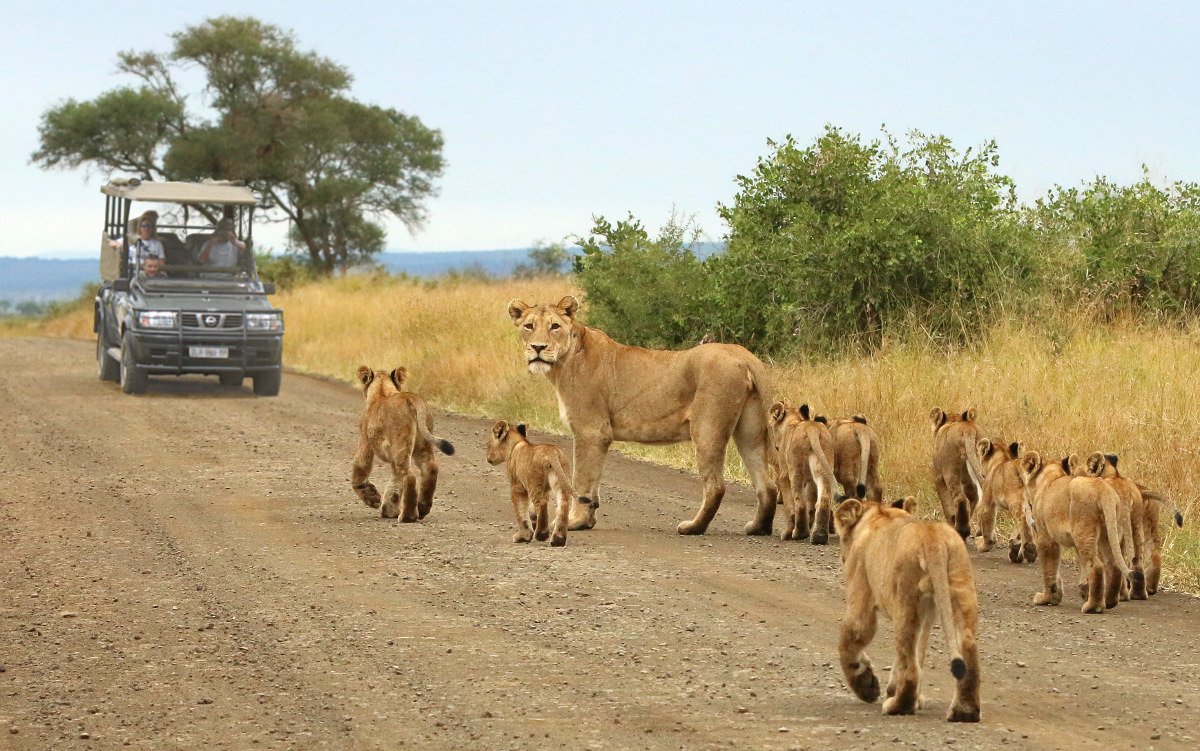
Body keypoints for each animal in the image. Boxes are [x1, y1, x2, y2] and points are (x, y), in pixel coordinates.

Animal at [506, 295, 777, 535]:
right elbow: (595, 481)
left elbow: (582, 479)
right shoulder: (600, 436)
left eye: (554, 326)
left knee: (716, 486)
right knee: (768, 485)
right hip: (750, 430)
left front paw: (573, 522)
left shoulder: (591, 431)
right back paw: (757, 528)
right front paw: (587, 520)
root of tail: (743, 354)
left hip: (707, 428)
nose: (538, 348)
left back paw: (693, 527)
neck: (564, 360)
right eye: (529, 326)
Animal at [830, 494, 979, 715]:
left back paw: (898, 706)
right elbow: (920, 651)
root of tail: (932, 538)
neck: (878, 515)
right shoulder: (928, 611)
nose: (842, 558)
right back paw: (964, 711)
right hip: (959, 590)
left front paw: (866, 685)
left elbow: (851, 639)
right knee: (967, 649)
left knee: (910, 666)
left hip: (905, 602)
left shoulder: (861, 595)